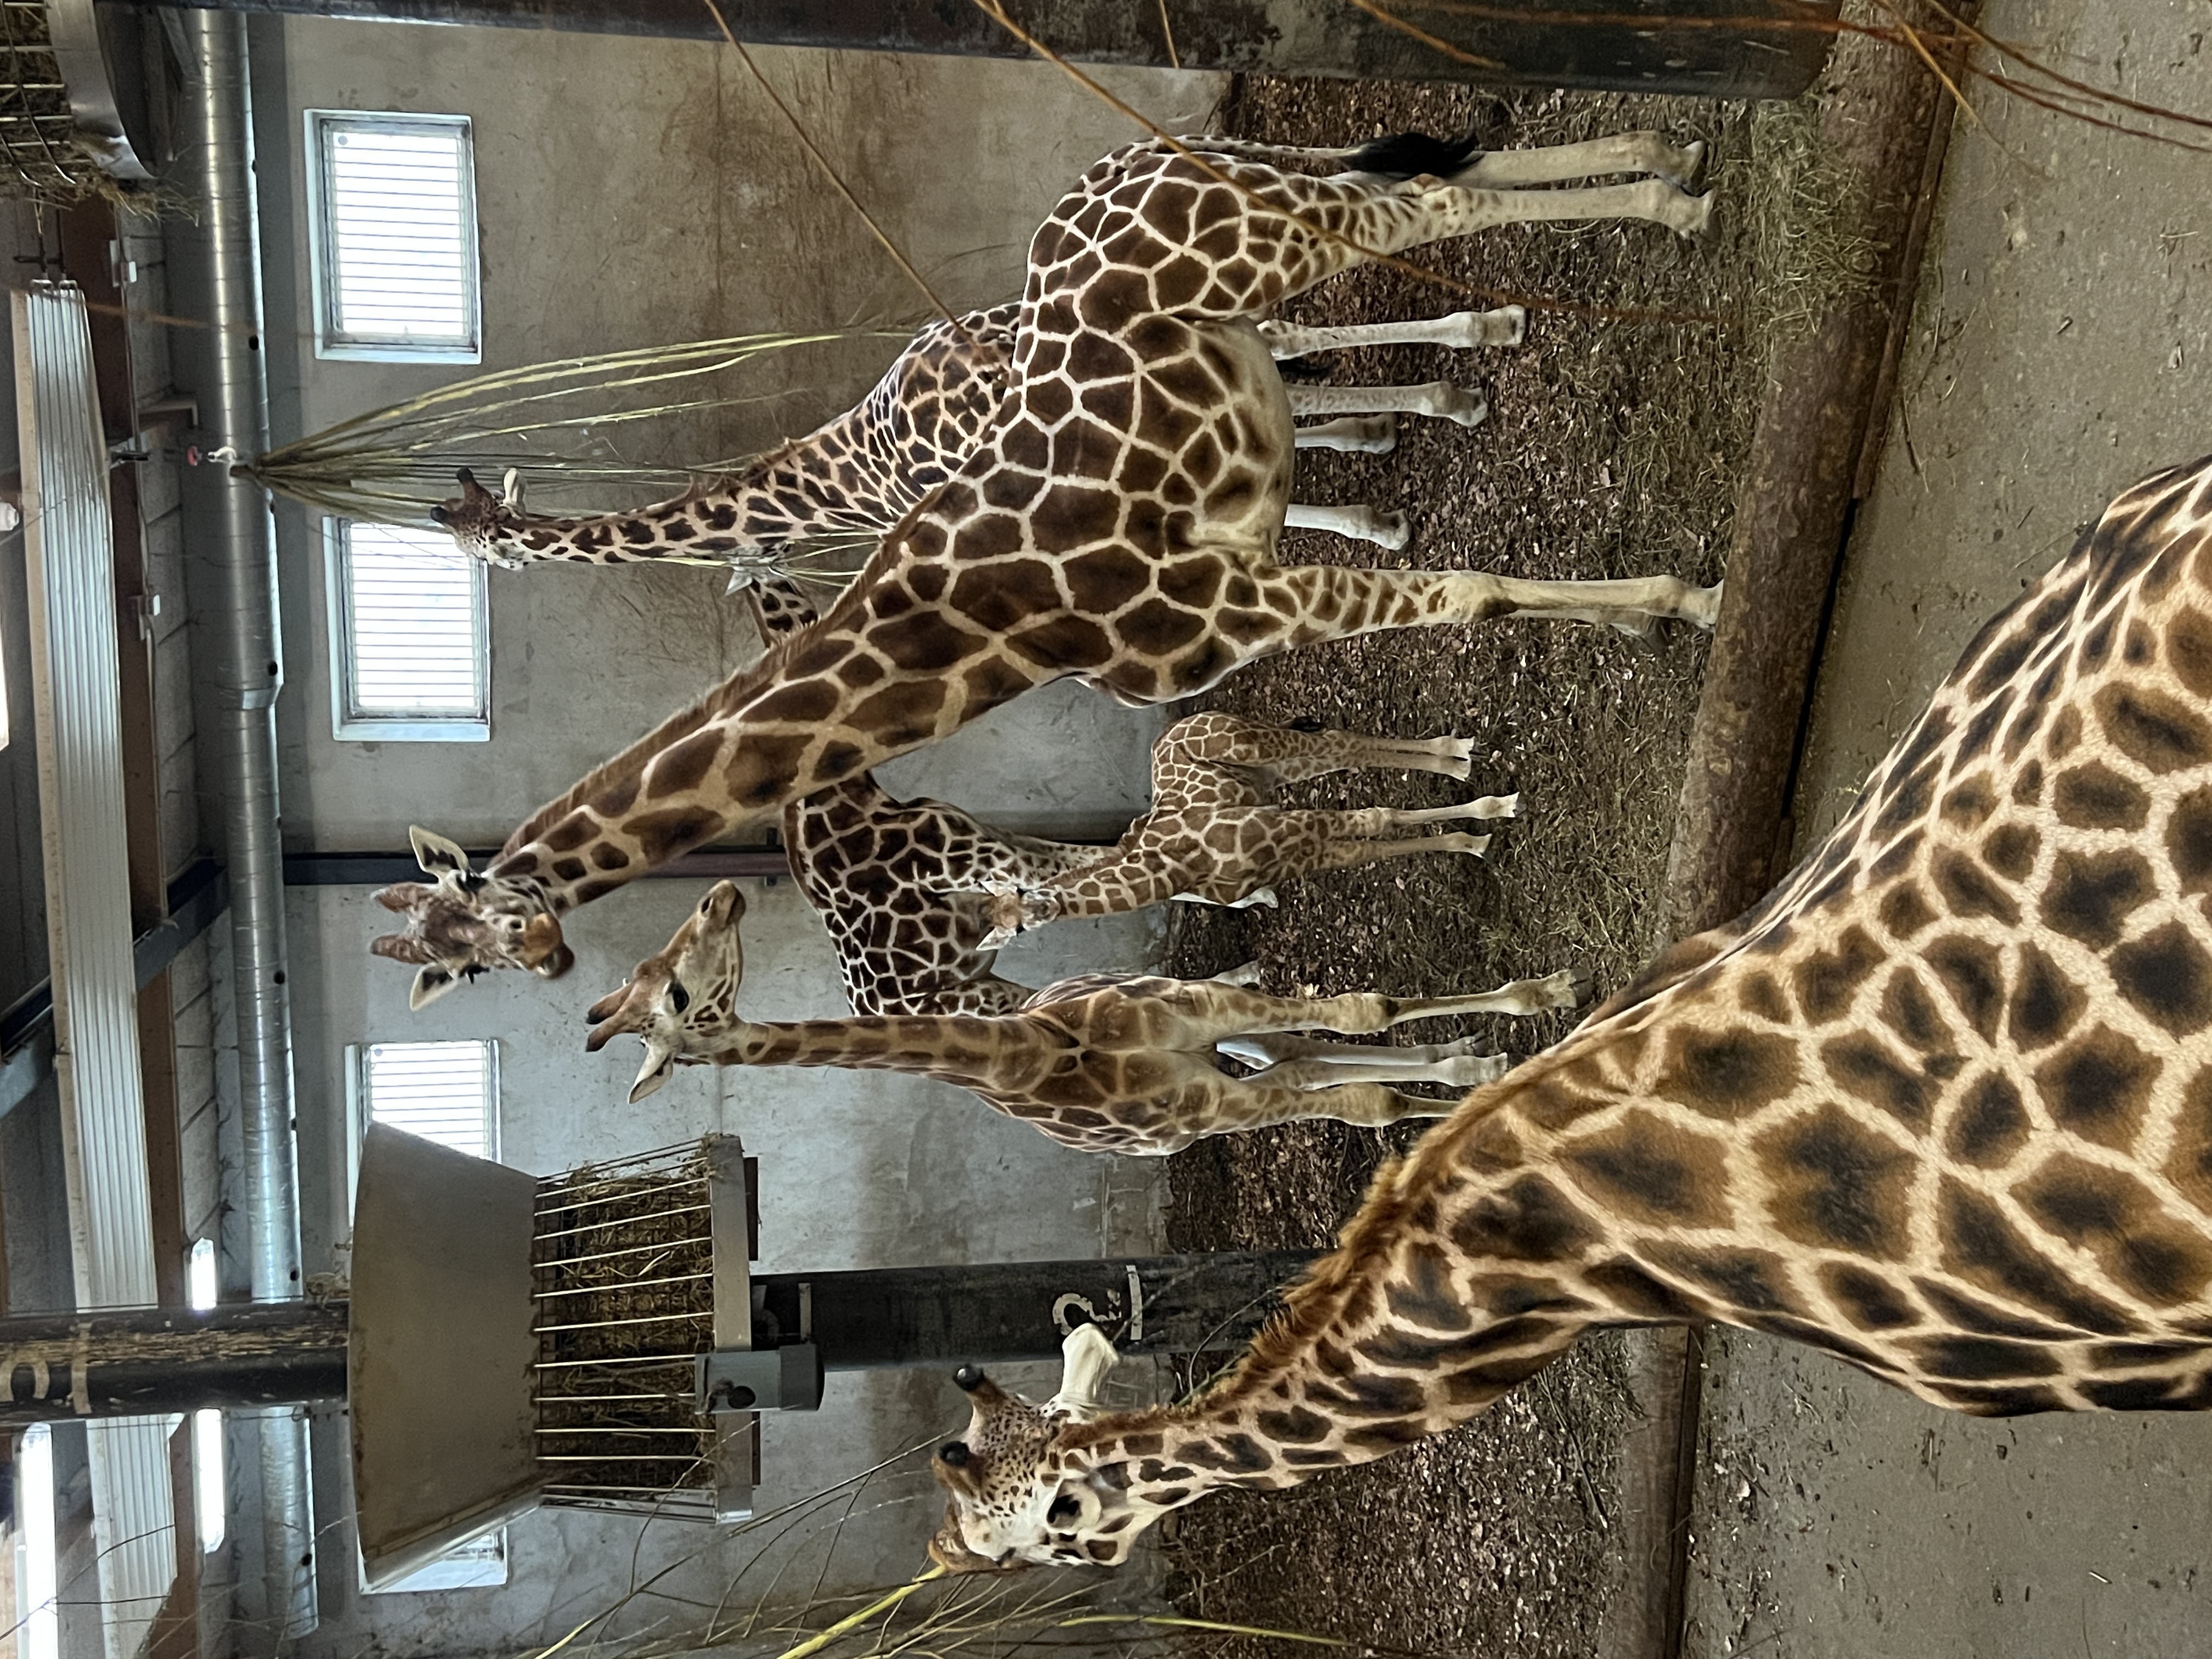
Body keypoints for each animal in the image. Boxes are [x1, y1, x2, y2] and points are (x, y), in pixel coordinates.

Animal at [581, 876, 1590, 1150]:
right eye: (673, 993)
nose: (718, 896)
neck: (1032, 1050)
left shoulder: (1202, 1005)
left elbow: (1362, 1006)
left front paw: (1542, 995)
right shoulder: (1207, 1107)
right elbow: (1358, 1090)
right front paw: (1481, 1085)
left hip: (1224, 1023)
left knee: (1313, 1042)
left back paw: (1497, 1036)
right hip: (1229, 1064)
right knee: (1305, 1059)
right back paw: (1470, 1064)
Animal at [980, 709, 1520, 947]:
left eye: (1024, 905)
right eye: (1014, 923)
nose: (1045, 908)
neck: (1178, 870)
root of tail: (1192, 717)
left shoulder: (1292, 828)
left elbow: (1378, 818)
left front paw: (1488, 819)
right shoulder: (1294, 855)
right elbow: (1374, 842)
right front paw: (1473, 838)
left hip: (1258, 747)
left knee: (1339, 741)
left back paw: (1458, 757)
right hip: (1272, 774)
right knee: (1343, 746)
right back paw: (1453, 756)